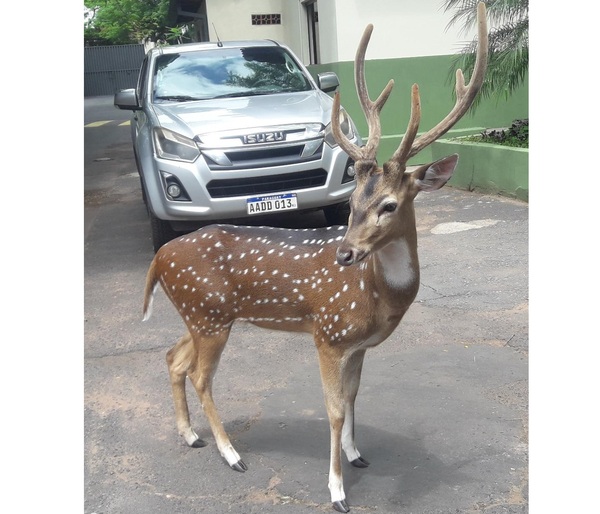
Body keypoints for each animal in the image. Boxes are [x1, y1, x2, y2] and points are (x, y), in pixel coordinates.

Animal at [142, 3, 488, 508]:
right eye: (352, 202)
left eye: (388, 204)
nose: (345, 253)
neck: (378, 297)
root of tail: (160, 257)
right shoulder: (328, 333)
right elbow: (333, 409)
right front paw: (336, 489)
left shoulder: (357, 345)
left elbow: (353, 398)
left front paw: (357, 455)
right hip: (207, 313)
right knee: (202, 376)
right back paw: (231, 454)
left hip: (202, 313)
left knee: (174, 357)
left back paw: (190, 435)